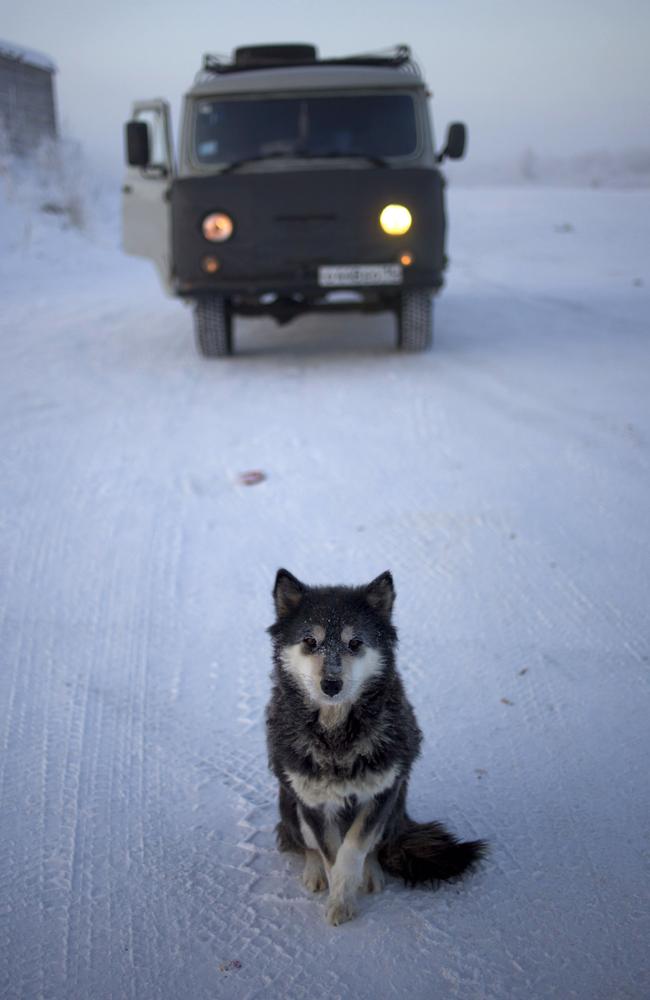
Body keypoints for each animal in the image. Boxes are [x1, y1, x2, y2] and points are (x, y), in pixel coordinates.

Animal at [264, 568, 486, 924]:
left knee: (375, 847)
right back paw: (313, 871)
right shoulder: (313, 802)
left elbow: (354, 848)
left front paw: (345, 894)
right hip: (290, 805)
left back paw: (372, 873)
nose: (331, 684)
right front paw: (337, 898)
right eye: (310, 641)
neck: (337, 736)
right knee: (303, 843)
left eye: (355, 643)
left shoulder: (382, 792)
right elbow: (329, 852)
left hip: (393, 810)